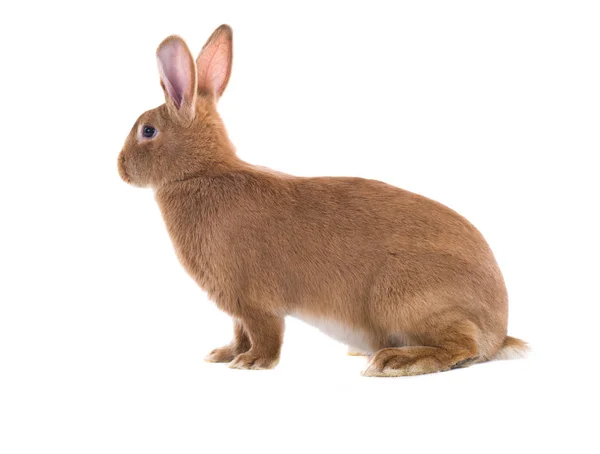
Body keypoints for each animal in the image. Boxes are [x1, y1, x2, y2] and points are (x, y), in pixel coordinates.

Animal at [118, 25, 528, 380]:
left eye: (148, 131)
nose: (120, 168)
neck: (202, 173)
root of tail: (498, 330)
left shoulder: (255, 300)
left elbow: (265, 333)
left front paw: (253, 363)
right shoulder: (237, 308)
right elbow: (239, 332)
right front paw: (225, 354)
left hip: (405, 296)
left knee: (462, 346)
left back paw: (394, 361)